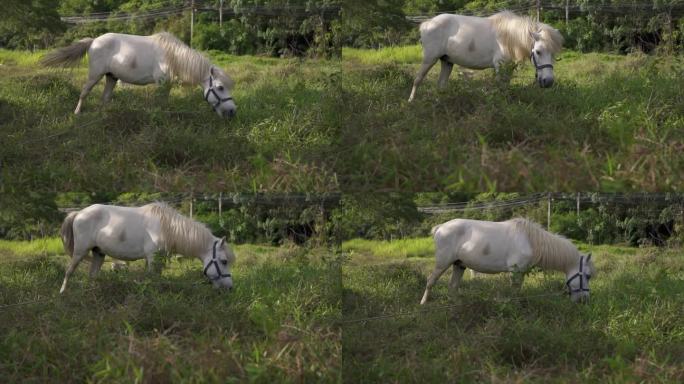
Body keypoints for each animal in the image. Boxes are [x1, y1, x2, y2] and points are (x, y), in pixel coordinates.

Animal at [41, 32, 238, 118]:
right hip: (94, 75)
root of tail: (94, 40)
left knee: (104, 98)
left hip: (111, 77)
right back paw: (77, 113)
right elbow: (162, 102)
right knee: (84, 92)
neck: (172, 55)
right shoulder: (162, 83)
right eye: (220, 87)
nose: (232, 112)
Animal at [59, 202, 235, 292]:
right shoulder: (152, 258)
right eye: (224, 261)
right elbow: (153, 279)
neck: (167, 227)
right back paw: (63, 293)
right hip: (80, 252)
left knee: (92, 276)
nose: (229, 287)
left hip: (98, 254)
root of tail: (79, 213)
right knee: (69, 272)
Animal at [408, 11, 564, 102]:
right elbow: (501, 87)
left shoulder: (508, 67)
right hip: (429, 59)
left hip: (447, 62)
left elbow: (506, 86)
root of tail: (427, 23)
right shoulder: (500, 66)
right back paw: (411, 102)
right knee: (417, 80)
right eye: (538, 51)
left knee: (441, 85)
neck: (508, 36)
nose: (548, 81)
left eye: (554, 53)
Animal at [420, 218, 592, 304]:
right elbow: (515, 292)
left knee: (453, 287)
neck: (531, 241)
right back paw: (424, 303)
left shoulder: (520, 272)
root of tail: (441, 227)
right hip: (442, 263)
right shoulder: (515, 272)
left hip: (459, 265)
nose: (584, 300)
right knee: (430, 281)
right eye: (588, 276)